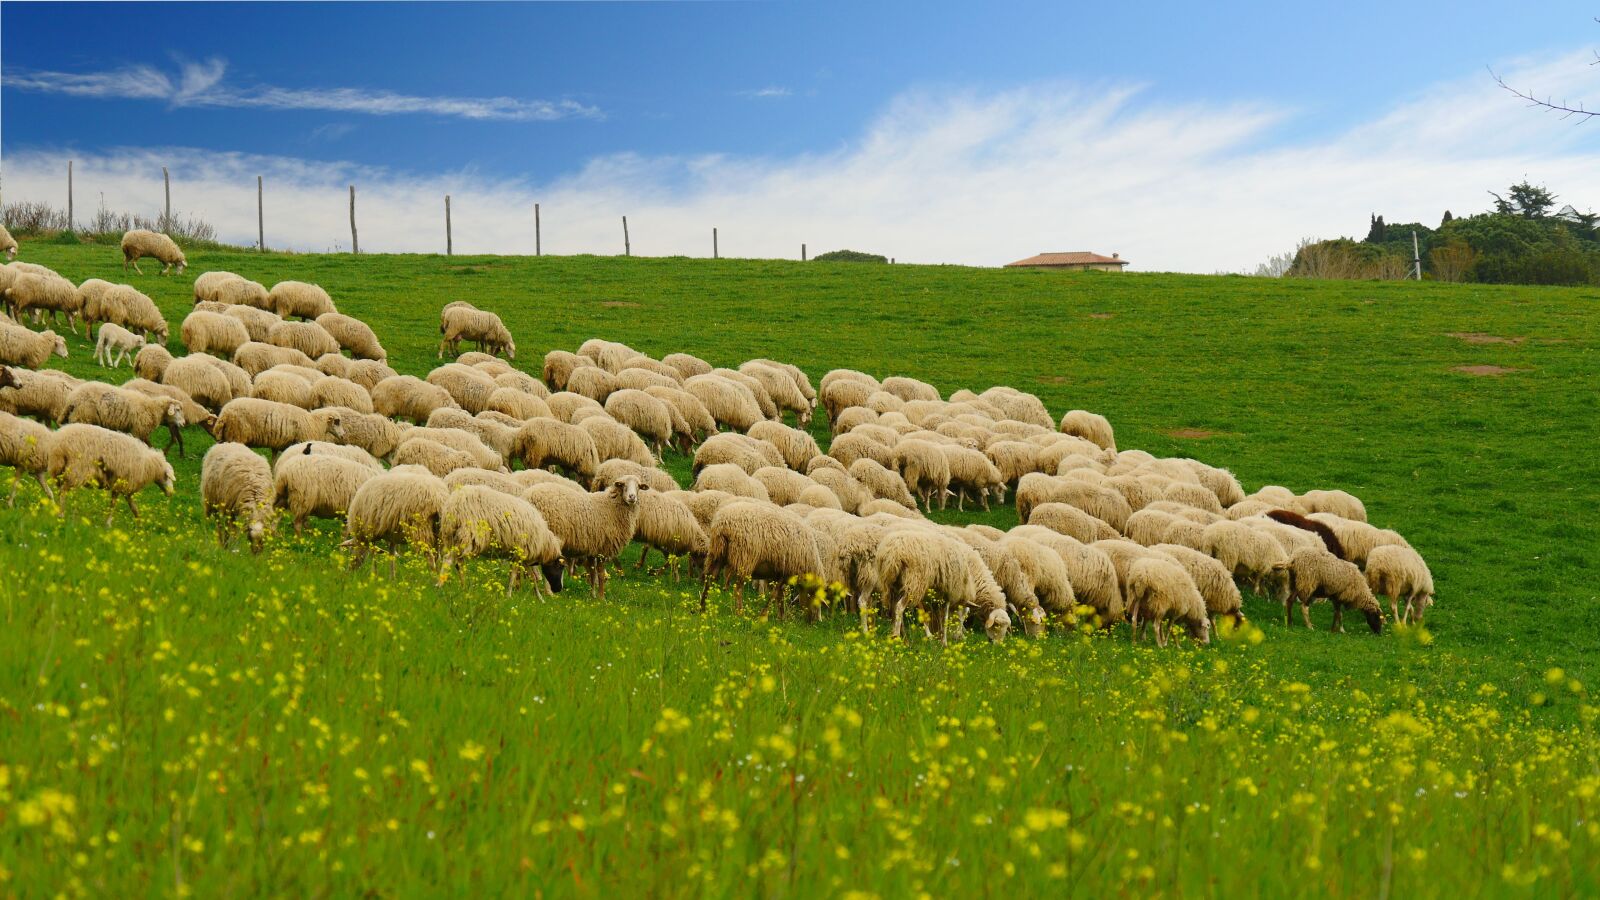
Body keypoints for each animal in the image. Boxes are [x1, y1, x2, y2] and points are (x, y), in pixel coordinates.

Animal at [46, 422, 175, 522]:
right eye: (167, 477)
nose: (171, 493)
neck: (148, 464)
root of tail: (59, 443)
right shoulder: (121, 483)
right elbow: (113, 505)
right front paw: (108, 523)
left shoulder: (124, 486)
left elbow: (133, 506)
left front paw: (139, 522)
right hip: (76, 471)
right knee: (63, 492)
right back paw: (61, 514)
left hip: (59, 469)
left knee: (60, 490)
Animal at [214, 397, 345, 454]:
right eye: (337, 421)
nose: (344, 435)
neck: (315, 422)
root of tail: (224, 413)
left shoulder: (278, 446)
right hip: (237, 435)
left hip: (227, 436)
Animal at [435, 483, 566, 595]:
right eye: (560, 567)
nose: (559, 589)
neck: (544, 543)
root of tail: (454, 503)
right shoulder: (520, 552)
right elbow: (513, 575)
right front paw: (509, 595)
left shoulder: (521, 555)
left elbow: (531, 577)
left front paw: (540, 598)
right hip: (469, 534)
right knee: (449, 559)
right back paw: (440, 585)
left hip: (453, 537)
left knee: (459, 563)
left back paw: (464, 588)